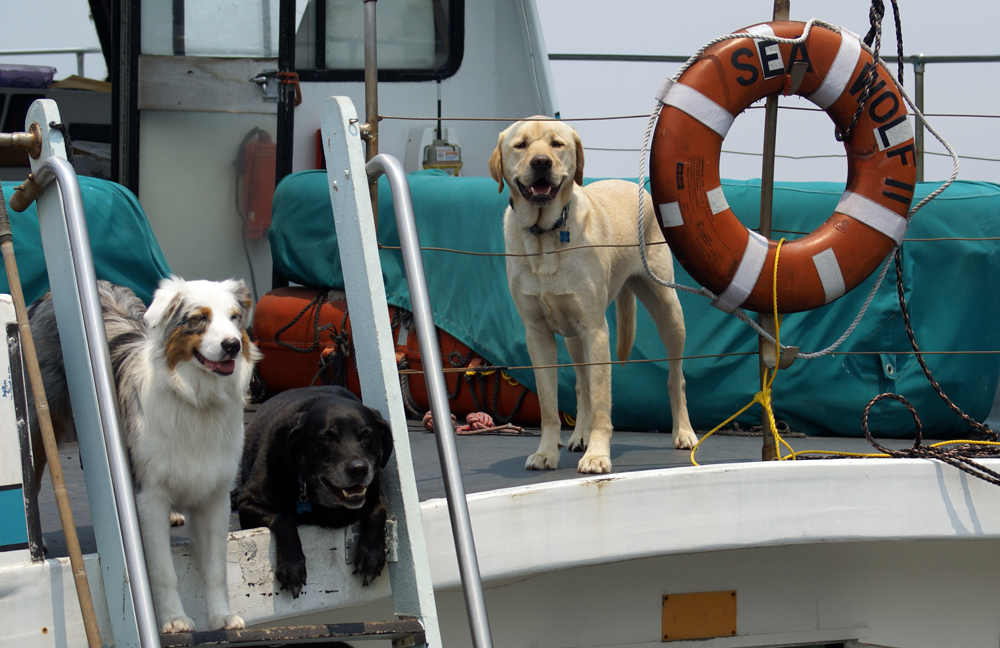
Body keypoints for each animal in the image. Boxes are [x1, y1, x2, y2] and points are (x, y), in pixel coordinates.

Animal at [233, 384, 390, 596]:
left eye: (367, 435)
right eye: (326, 437)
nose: (359, 469)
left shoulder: (372, 496)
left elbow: (378, 511)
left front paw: (371, 556)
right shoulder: (248, 504)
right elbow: (283, 519)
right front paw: (292, 566)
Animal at [490, 116, 696, 474]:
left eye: (556, 144)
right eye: (521, 145)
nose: (541, 162)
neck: (546, 236)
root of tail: (635, 187)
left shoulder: (596, 330)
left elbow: (602, 401)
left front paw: (598, 455)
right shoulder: (538, 335)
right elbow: (550, 406)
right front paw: (547, 451)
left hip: (668, 310)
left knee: (676, 378)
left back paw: (683, 432)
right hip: (573, 335)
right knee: (581, 385)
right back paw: (580, 434)